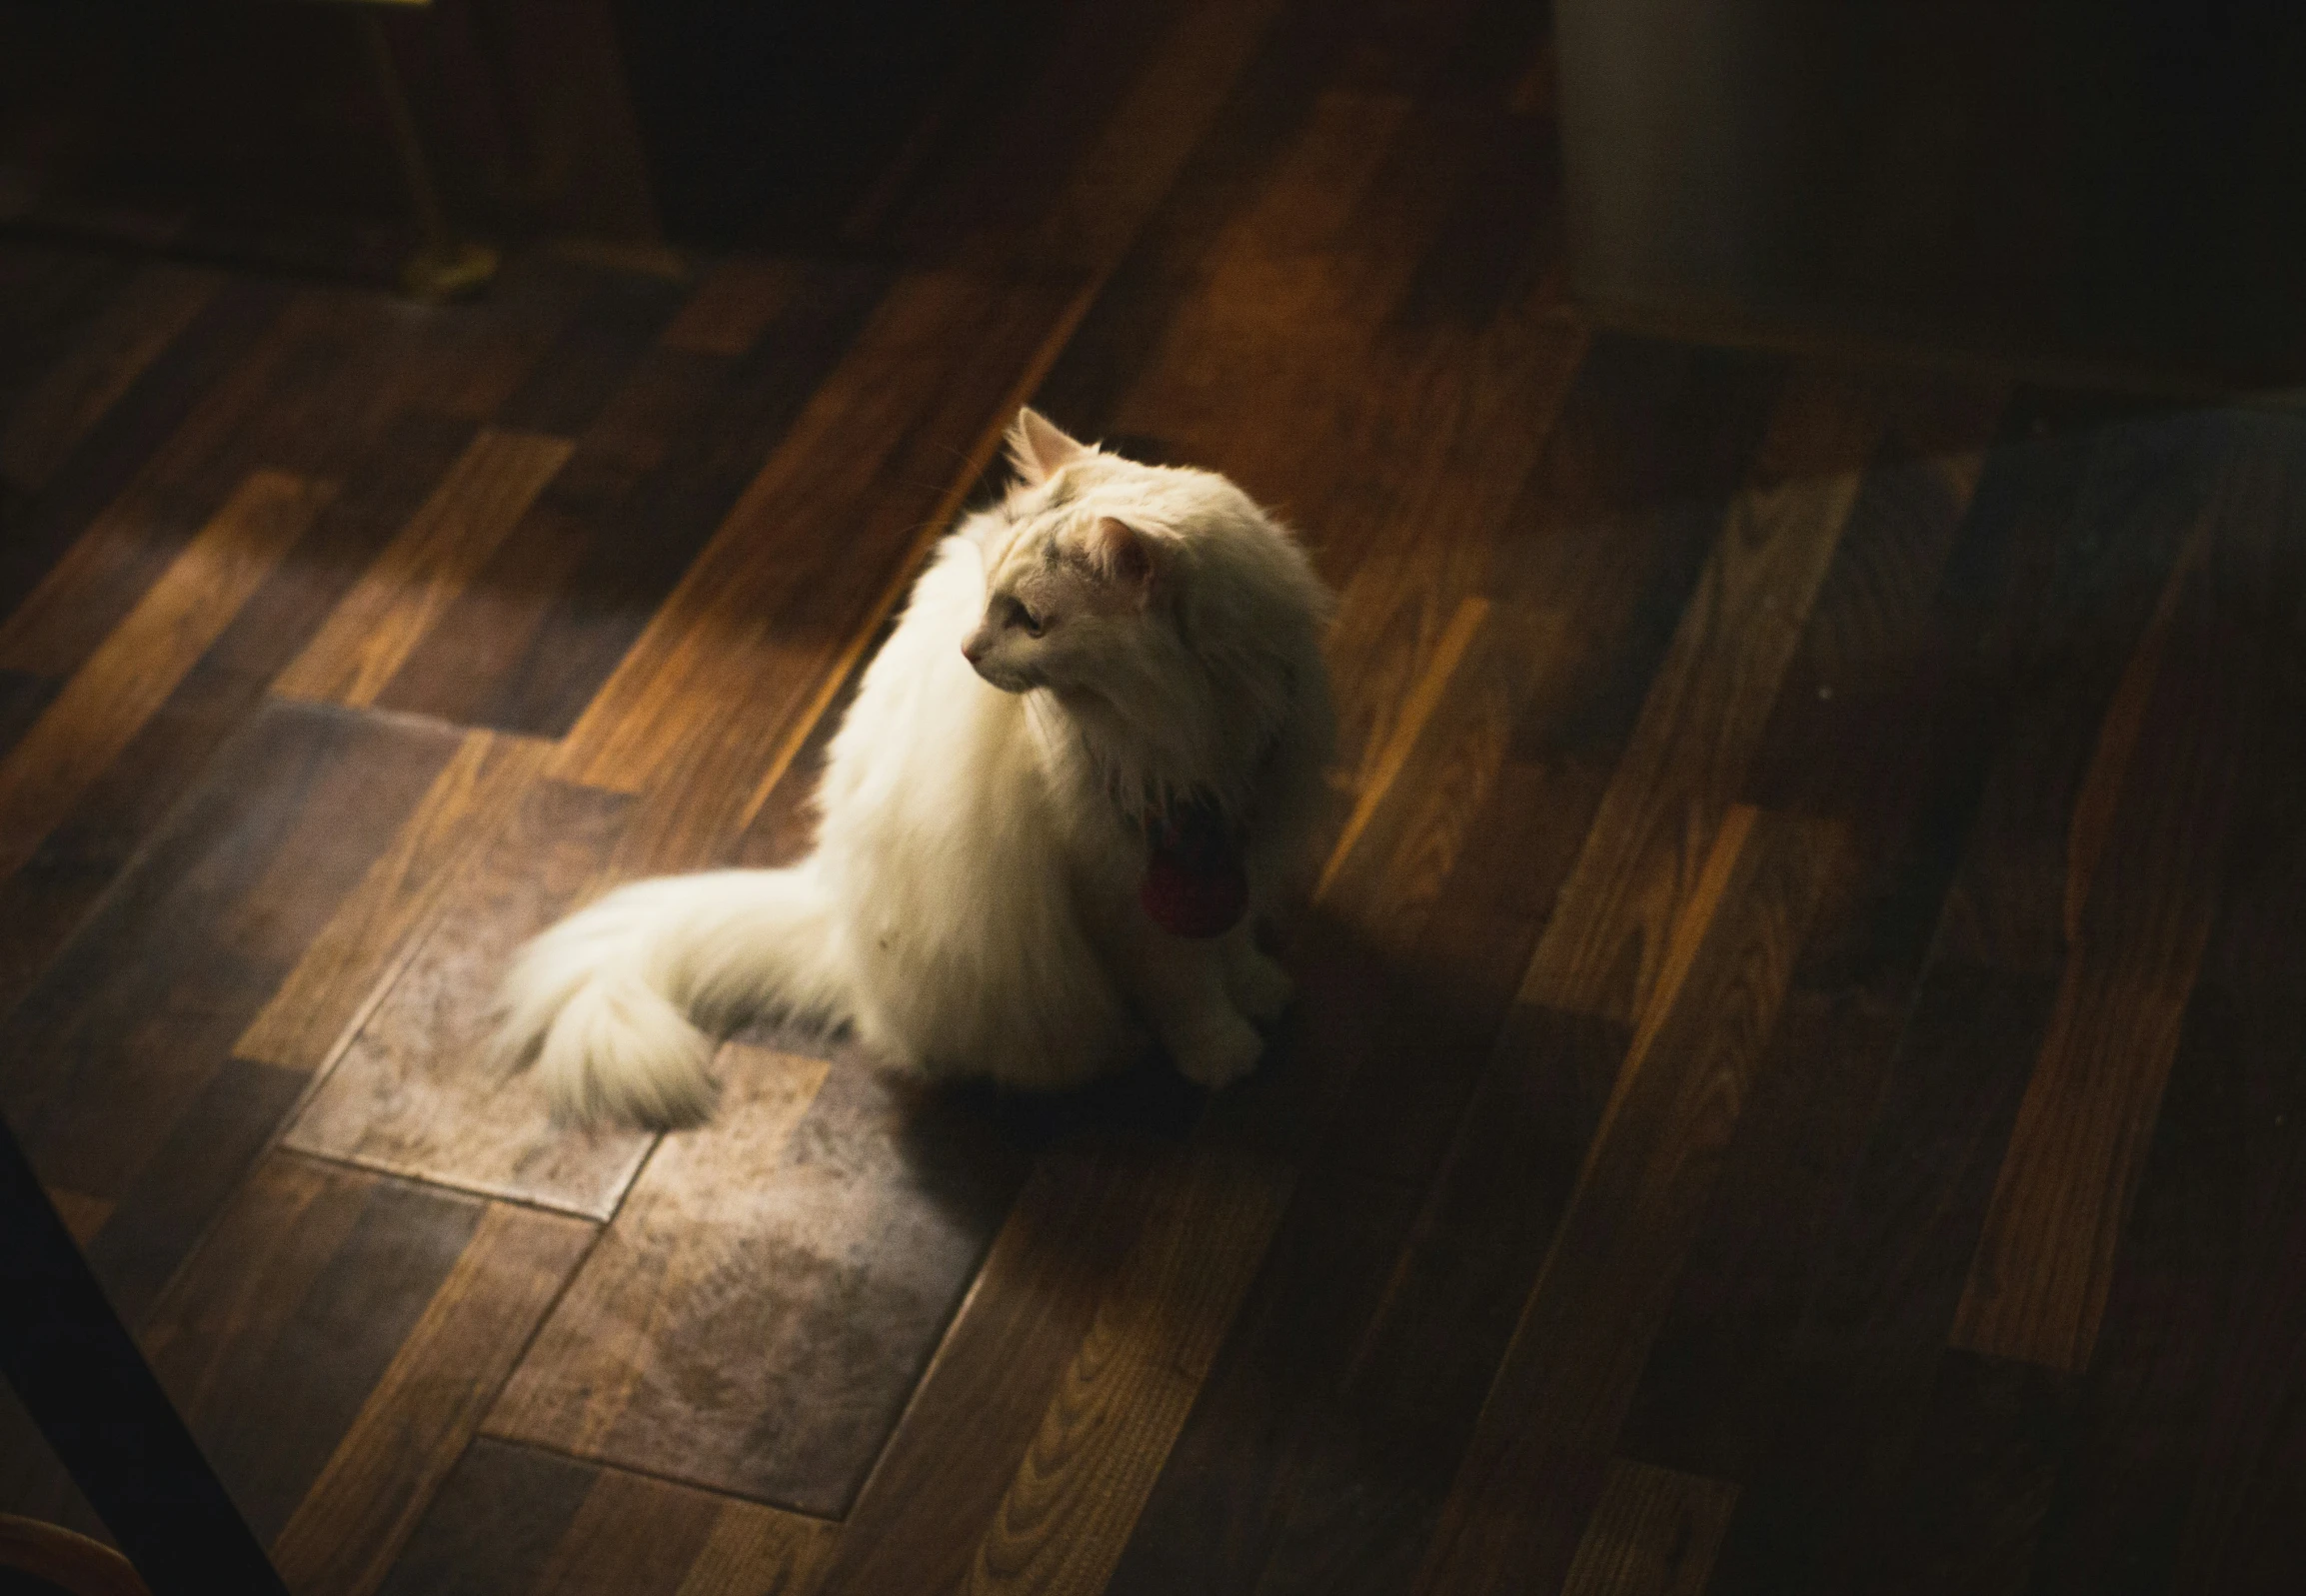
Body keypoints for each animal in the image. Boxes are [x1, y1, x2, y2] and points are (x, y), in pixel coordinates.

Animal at [496, 415, 1346, 1134]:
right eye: (988, 597)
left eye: (1029, 619)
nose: (967, 651)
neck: (1205, 730)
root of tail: (836, 916)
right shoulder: (1123, 896)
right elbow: (1188, 988)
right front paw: (1224, 1051)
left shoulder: (1248, 830)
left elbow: (1232, 937)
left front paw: (1261, 988)